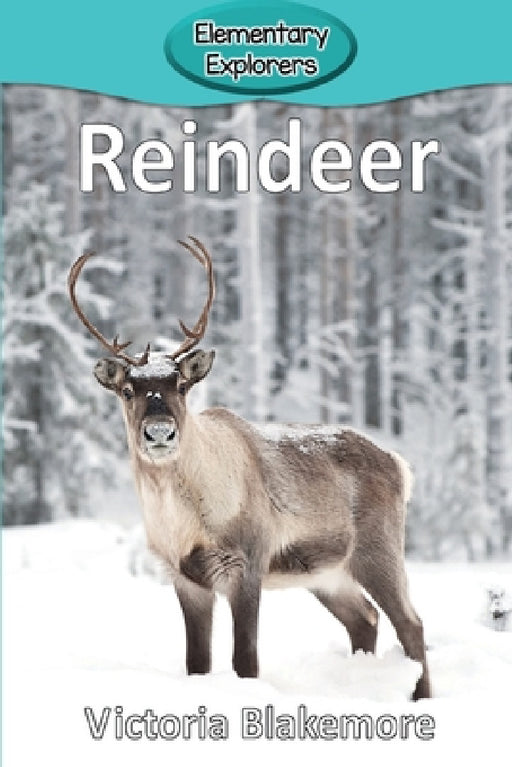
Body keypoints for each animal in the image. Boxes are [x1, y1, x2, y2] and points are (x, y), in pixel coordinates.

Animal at [68, 236, 431, 700]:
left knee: (411, 623)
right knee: (365, 619)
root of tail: (398, 464)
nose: (160, 432)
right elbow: (197, 663)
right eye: (128, 390)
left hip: (378, 550)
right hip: (327, 574)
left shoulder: (246, 563)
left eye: (181, 385)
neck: (184, 521)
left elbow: (246, 660)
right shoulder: (185, 578)